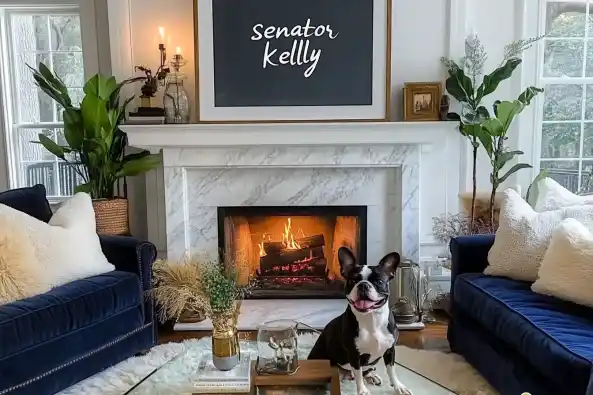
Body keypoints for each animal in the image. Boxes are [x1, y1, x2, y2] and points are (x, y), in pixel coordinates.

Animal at [308, 248, 410, 395]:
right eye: (352, 281)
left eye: (379, 282)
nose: (363, 285)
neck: (371, 318)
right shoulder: (354, 355)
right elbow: (358, 374)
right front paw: (362, 391)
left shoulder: (390, 351)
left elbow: (391, 370)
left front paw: (398, 386)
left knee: (366, 371)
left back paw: (372, 376)